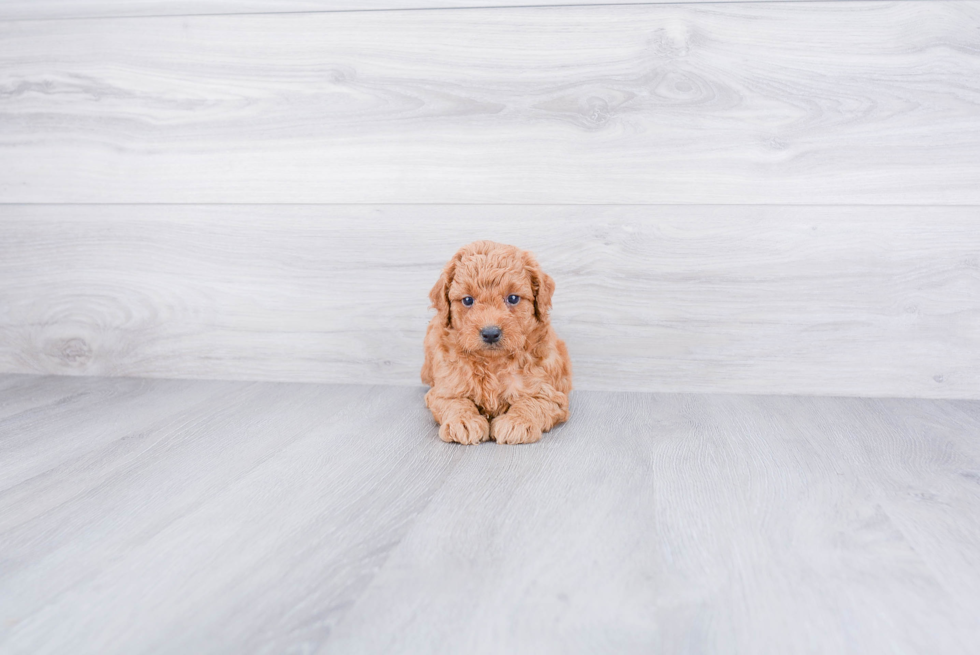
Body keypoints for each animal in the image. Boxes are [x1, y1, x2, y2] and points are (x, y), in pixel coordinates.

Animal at [424, 241, 576, 446]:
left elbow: (532, 401)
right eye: (467, 300)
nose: (490, 333)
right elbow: (455, 402)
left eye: (513, 298)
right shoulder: (444, 389)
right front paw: (463, 421)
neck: (492, 362)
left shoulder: (550, 393)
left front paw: (517, 422)